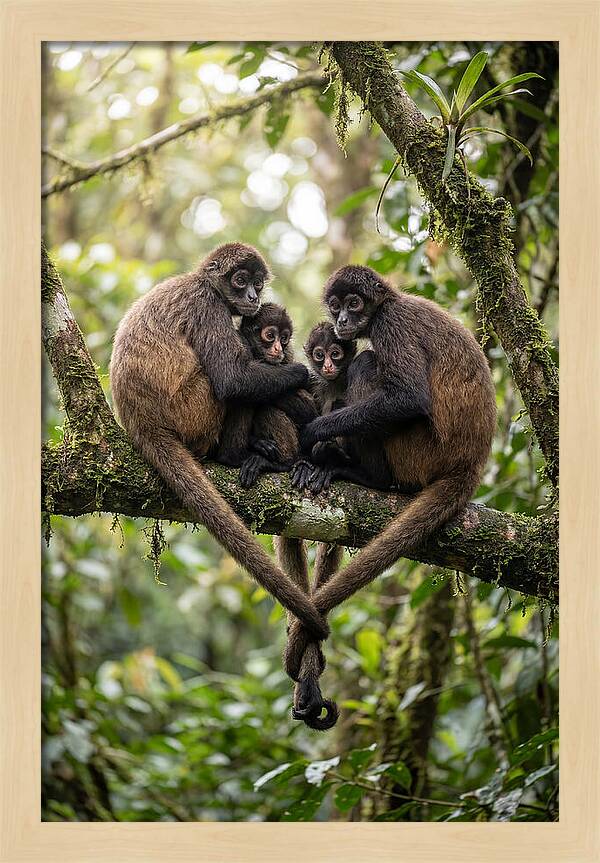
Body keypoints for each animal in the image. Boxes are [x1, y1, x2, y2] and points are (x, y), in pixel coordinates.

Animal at [110, 243, 329, 642]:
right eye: (240, 280)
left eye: (257, 282)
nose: (253, 296)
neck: (202, 282)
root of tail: (141, 422)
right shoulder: (208, 306)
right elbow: (231, 379)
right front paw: (301, 373)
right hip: (194, 411)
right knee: (232, 385)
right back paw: (234, 455)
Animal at [284, 264, 496, 683]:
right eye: (335, 306)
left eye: (354, 304)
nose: (343, 321)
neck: (390, 303)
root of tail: (470, 463)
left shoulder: (390, 324)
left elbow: (409, 397)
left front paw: (315, 435)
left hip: (419, 451)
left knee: (367, 363)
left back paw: (365, 475)